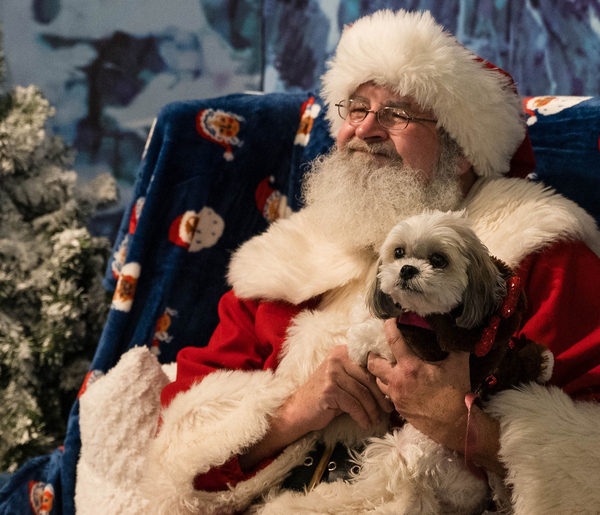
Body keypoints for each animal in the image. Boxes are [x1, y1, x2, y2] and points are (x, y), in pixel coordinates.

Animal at [260, 211, 552, 515]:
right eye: (399, 252)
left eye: (439, 260)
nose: (407, 269)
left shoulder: (429, 344)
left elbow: (381, 335)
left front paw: (359, 341)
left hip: (411, 447)